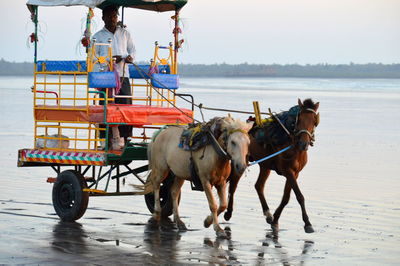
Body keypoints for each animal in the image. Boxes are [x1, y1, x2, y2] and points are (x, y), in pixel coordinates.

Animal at [225, 98, 318, 233]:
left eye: (314, 121)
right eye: (299, 119)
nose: (304, 143)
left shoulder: (295, 173)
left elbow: (286, 198)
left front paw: (275, 219)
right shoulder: (287, 171)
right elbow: (299, 196)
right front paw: (307, 223)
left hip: (265, 165)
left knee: (259, 186)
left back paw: (268, 214)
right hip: (241, 162)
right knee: (233, 185)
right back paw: (228, 212)